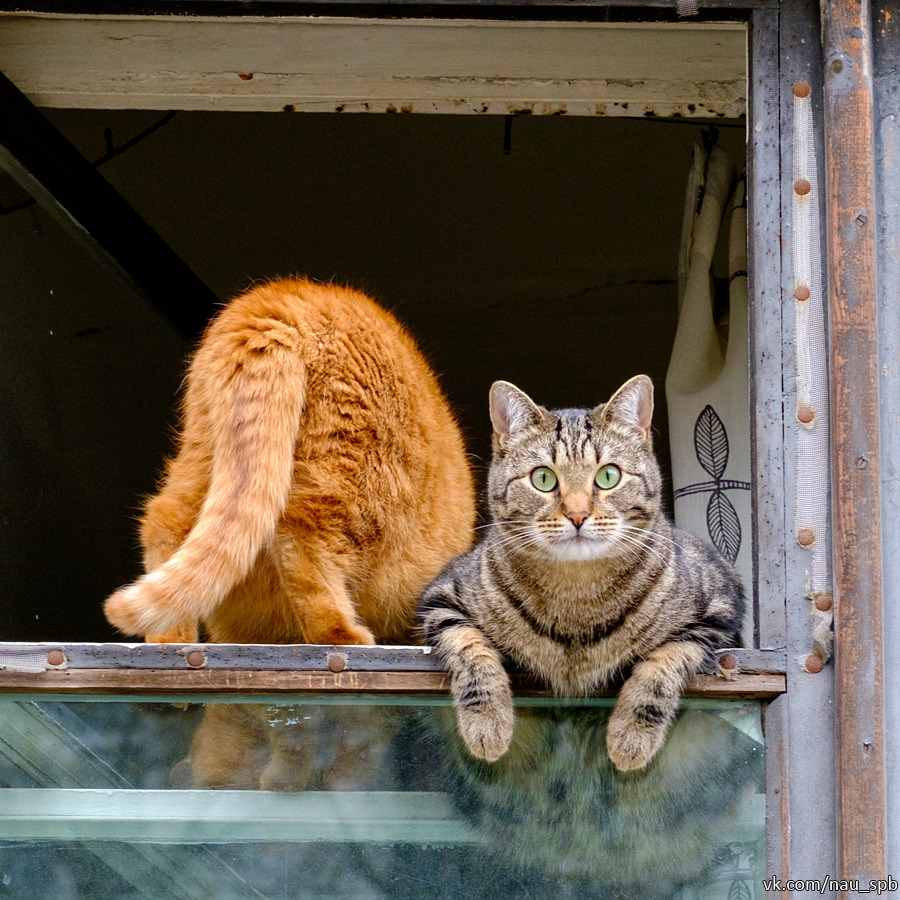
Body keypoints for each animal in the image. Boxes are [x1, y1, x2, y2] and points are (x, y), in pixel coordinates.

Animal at [102, 278, 474, 644]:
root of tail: (279, 298)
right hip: (363, 484)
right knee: (303, 536)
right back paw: (339, 634)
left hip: (205, 457)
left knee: (165, 519)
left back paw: (171, 639)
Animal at [418, 376, 740, 768]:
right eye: (543, 478)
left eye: (608, 476)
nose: (577, 514)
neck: (577, 595)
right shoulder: (443, 599)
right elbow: (471, 651)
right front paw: (487, 724)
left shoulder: (718, 612)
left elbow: (663, 665)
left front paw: (632, 736)